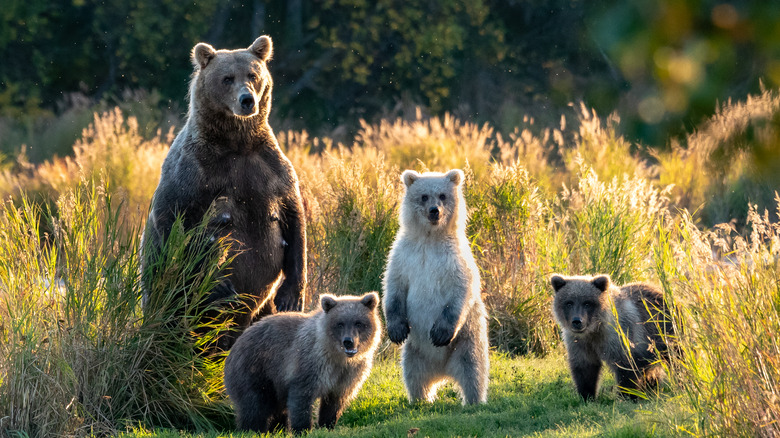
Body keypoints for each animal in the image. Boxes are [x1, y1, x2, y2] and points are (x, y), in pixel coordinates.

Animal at [142, 35, 306, 350]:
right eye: (227, 78)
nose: (247, 100)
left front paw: (291, 295)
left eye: (253, 75)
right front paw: (219, 286)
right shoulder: (194, 172)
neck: (237, 142)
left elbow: (294, 219)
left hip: (260, 310)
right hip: (165, 294)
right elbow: (175, 220)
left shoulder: (271, 168)